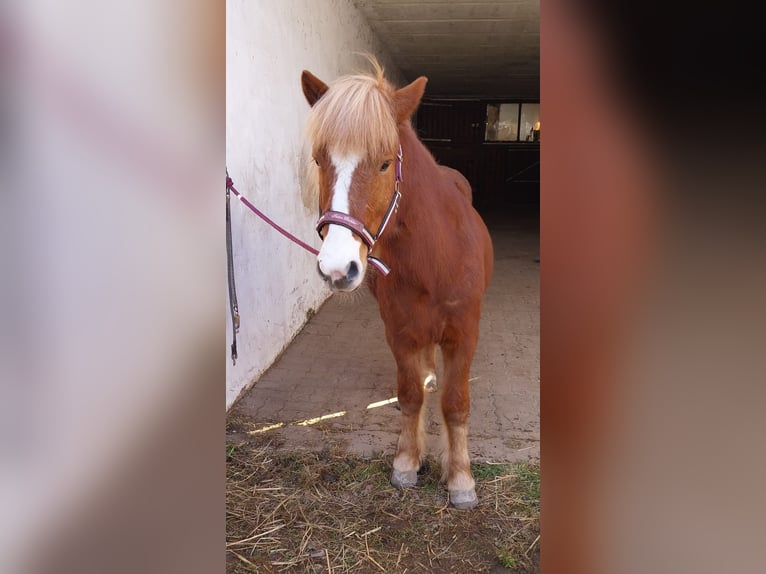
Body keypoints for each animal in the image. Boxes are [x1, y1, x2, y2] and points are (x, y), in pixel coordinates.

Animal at [300, 57, 494, 509]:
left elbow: (456, 404)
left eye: (386, 162)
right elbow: (409, 395)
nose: (337, 268)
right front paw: (407, 462)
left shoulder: (463, 334)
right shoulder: (400, 331)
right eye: (319, 160)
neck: (433, 259)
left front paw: (461, 479)